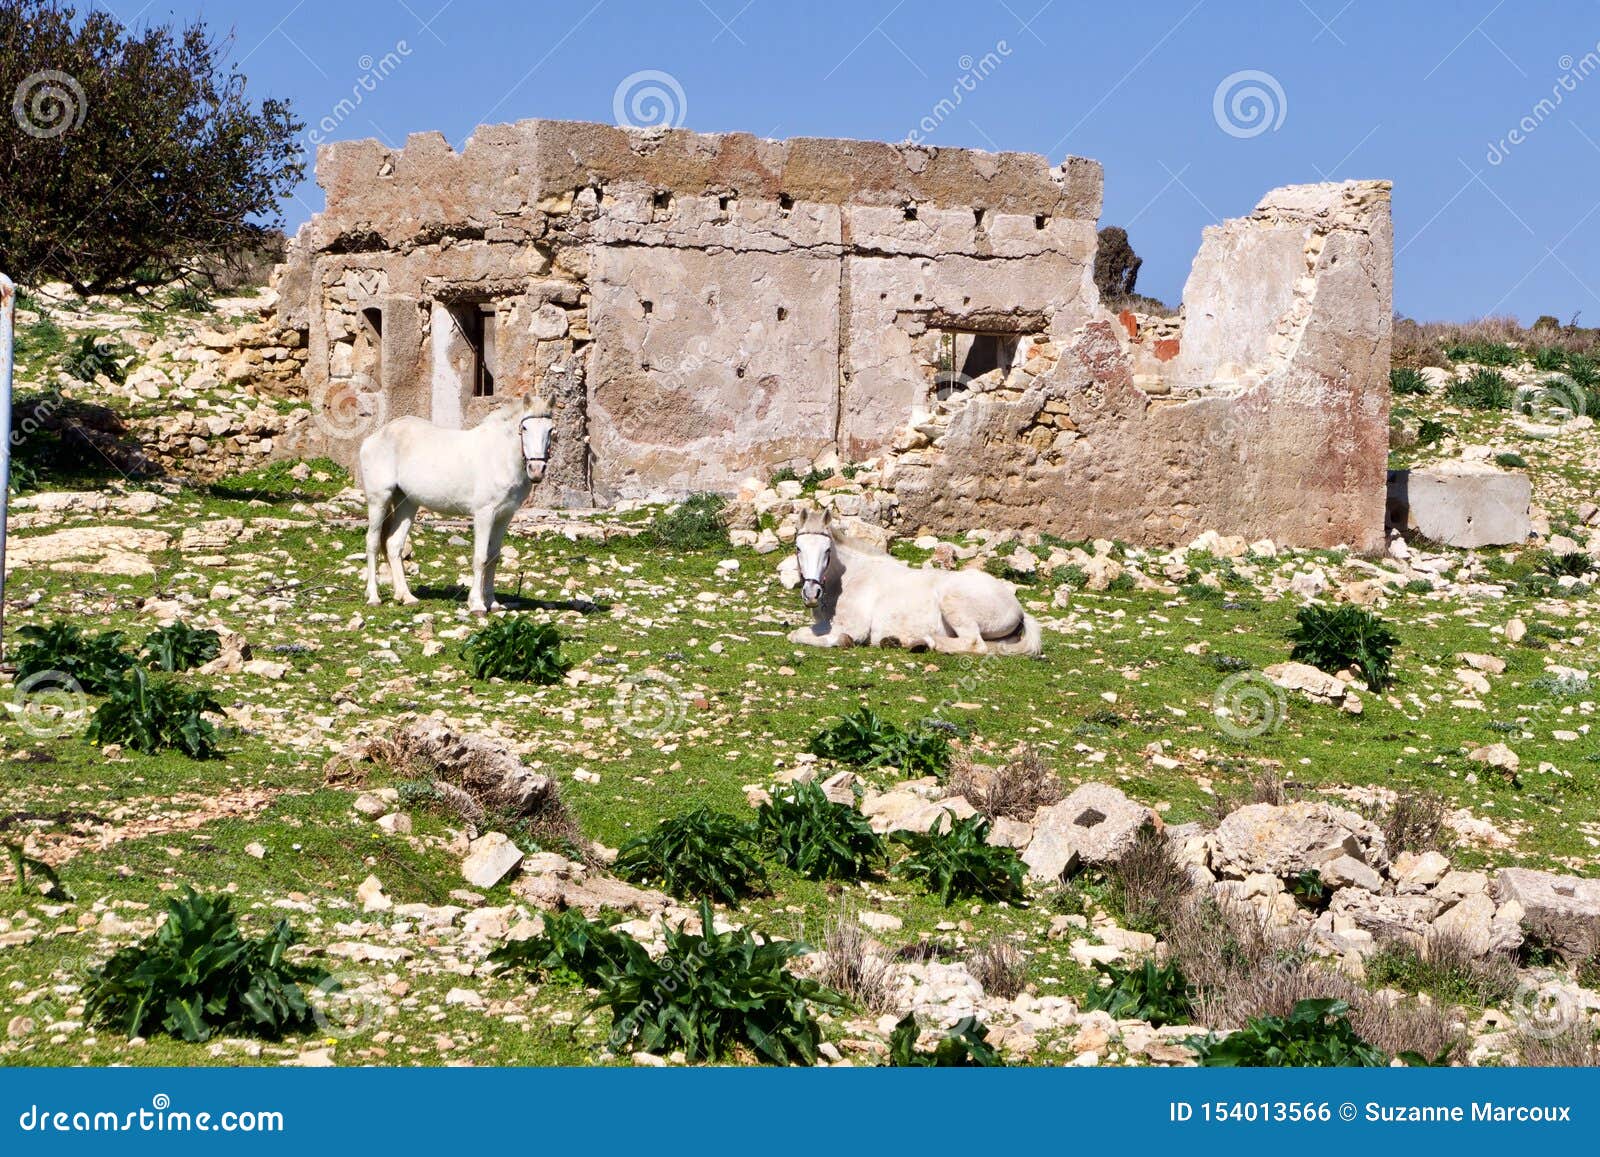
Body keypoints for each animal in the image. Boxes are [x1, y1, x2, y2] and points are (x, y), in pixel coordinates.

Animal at [358, 393, 553, 614]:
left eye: (550, 429)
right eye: (525, 428)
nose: (536, 470)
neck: (499, 456)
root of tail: (373, 438)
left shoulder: (504, 516)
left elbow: (494, 557)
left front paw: (493, 603)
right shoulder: (484, 514)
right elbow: (481, 558)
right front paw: (477, 604)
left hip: (407, 503)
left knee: (393, 544)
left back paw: (406, 596)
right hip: (379, 500)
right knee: (373, 543)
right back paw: (373, 597)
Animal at [784, 512, 1036, 656]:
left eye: (827, 550)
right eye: (798, 548)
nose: (811, 593)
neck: (851, 577)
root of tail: (1018, 608)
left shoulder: (853, 627)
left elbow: (798, 635)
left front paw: (842, 641)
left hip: (955, 605)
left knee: (973, 643)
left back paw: (917, 641)